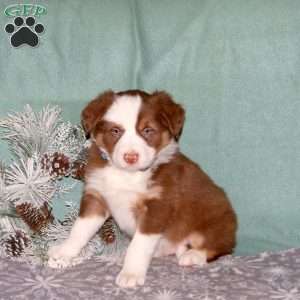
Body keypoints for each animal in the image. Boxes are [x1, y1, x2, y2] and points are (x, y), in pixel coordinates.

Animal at [48, 89, 238, 288]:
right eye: (115, 131)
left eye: (147, 130)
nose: (131, 157)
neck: (127, 175)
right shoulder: (96, 197)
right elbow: (80, 229)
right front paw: (64, 252)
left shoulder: (157, 207)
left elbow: (138, 246)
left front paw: (131, 273)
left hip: (217, 223)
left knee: (220, 247)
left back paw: (193, 255)